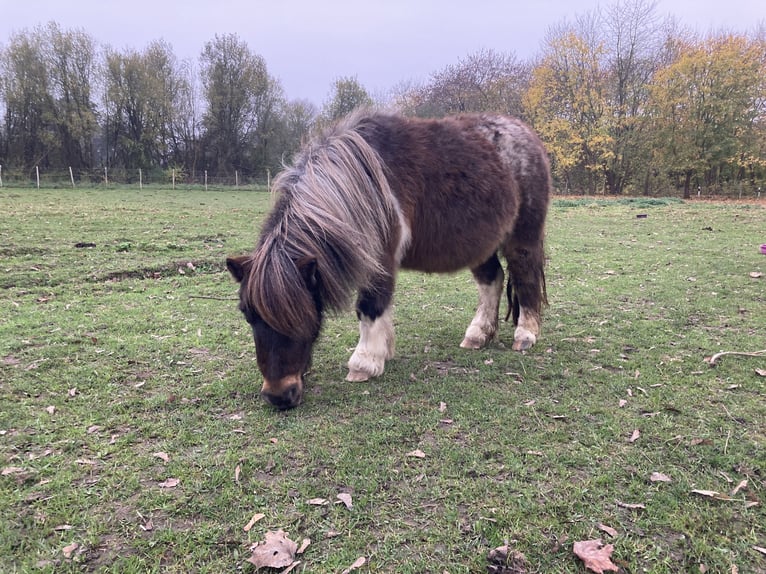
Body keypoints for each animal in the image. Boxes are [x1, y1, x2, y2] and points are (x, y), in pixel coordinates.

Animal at [228, 110, 552, 412]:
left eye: (301, 315)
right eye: (247, 314)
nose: (278, 396)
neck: (360, 184)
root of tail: (527, 135)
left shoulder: (379, 261)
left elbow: (370, 307)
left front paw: (364, 363)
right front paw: (383, 351)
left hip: (523, 235)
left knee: (525, 276)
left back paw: (525, 335)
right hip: (480, 244)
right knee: (492, 281)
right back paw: (478, 335)